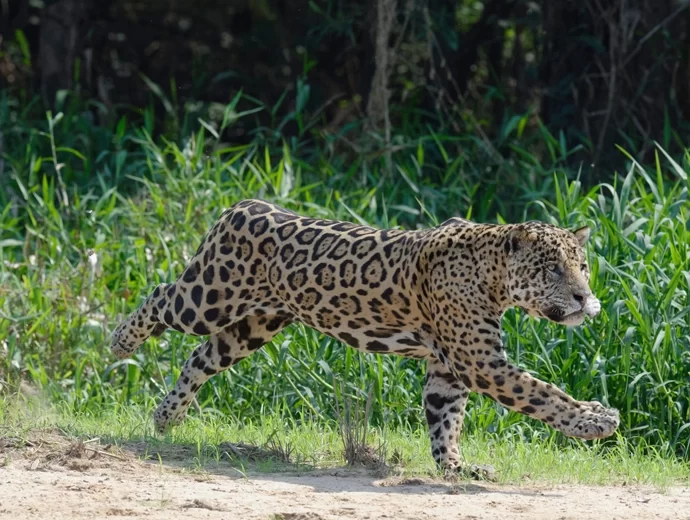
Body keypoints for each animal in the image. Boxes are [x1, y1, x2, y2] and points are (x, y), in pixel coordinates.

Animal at [110, 198, 619, 474]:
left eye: (583, 265)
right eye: (552, 270)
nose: (583, 297)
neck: (492, 274)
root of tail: (244, 205)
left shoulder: (449, 368)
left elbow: (445, 420)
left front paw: (455, 467)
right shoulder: (480, 362)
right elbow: (542, 393)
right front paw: (594, 421)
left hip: (253, 327)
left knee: (201, 357)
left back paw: (166, 417)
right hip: (209, 297)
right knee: (161, 295)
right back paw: (119, 342)